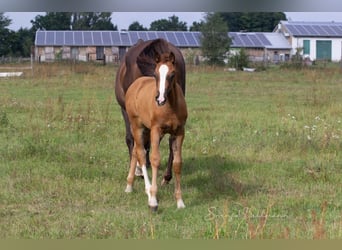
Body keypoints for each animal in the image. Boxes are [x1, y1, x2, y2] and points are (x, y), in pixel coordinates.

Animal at [114, 39, 184, 184]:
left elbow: (132, 139)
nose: (160, 99)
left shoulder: (126, 112)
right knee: (170, 142)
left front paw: (138, 169)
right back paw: (166, 176)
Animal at [124, 51, 187, 210]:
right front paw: (153, 200)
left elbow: (177, 163)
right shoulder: (156, 130)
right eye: (155, 74)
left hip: (144, 129)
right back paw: (147, 191)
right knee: (141, 153)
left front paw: (180, 201)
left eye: (172, 74)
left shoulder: (179, 132)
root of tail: (136, 84)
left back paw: (129, 185)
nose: (160, 99)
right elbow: (154, 159)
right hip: (137, 126)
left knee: (136, 151)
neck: (170, 107)